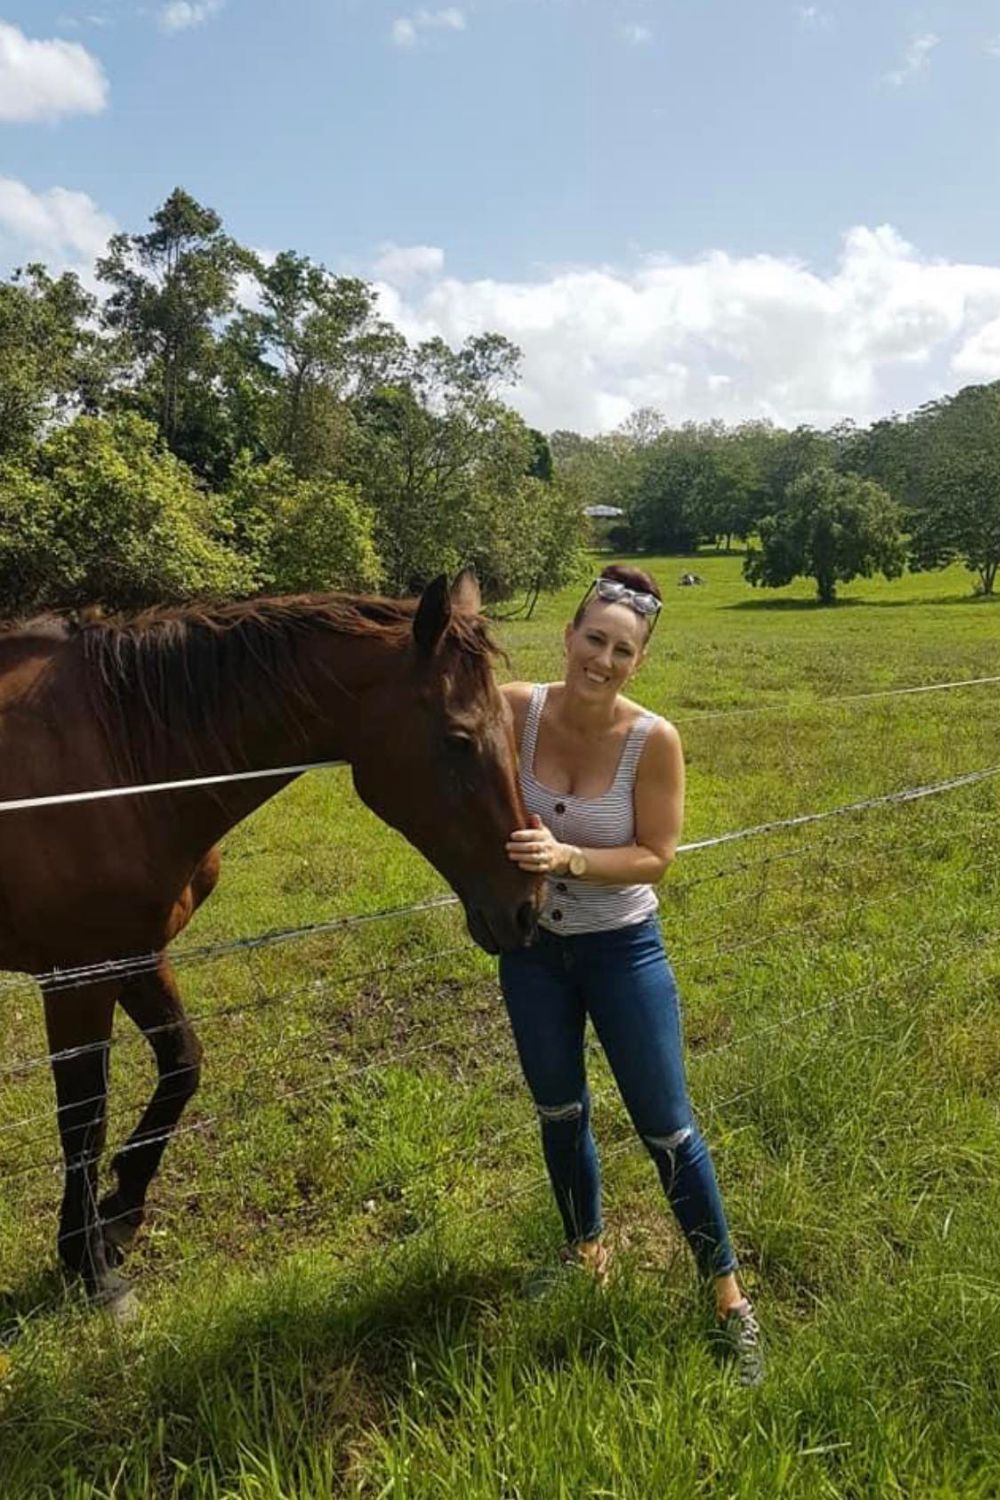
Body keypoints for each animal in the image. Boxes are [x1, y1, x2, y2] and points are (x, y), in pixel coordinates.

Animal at [0, 570, 539, 1312]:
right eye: (459, 739)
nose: (526, 908)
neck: (122, 762)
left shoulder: (136, 953)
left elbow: (182, 1067)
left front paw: (120, 1214)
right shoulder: (78, 975)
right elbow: (82, 1117)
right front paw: (90, 1265)